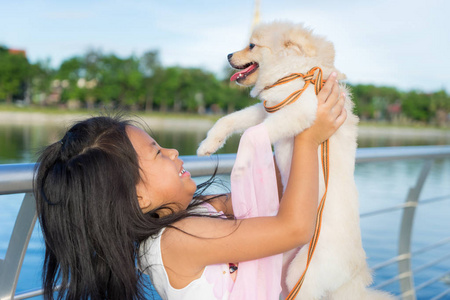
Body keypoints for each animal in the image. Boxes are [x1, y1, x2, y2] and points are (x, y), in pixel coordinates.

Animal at [198, 21, 394, 300]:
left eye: (251, 45)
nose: (228, 55)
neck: (295, 74)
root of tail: (354, 276)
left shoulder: (298, 112)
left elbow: (250, 136)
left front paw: (242, 166)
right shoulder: (268, 109)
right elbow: (230, 120)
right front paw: (208, 145)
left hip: (303, 274)